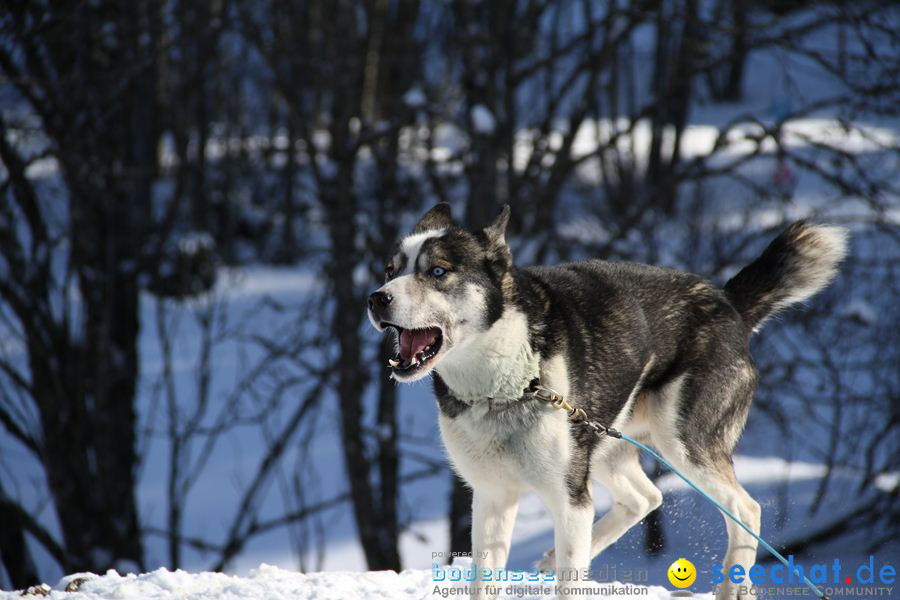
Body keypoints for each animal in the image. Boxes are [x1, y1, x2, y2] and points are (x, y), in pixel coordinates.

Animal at [366, 204, 844, 596]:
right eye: (390, 270)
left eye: (437, 271)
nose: (376, 297)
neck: (506, 380)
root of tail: (727, 301)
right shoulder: (492, 497)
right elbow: (486, 582)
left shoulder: (567, 496)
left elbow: (571, 582)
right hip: (604, 444)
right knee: (645, 498)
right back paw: (553, 558)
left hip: (681, 444)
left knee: (744, 508)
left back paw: (731, 588)